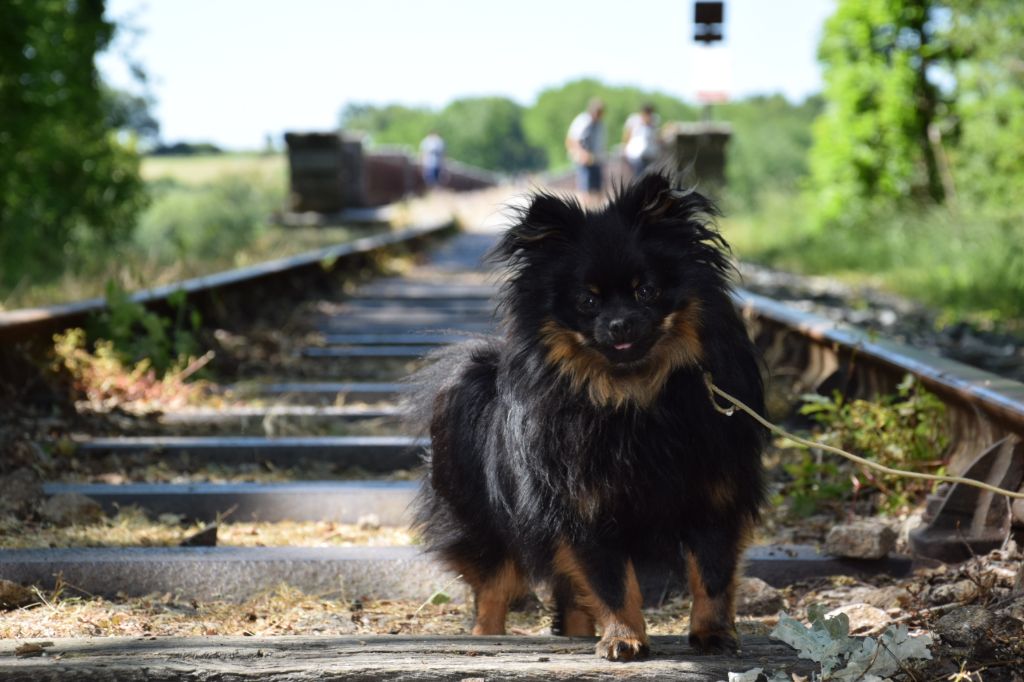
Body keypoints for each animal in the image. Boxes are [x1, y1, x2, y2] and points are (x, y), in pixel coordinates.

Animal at [411, 171, 765, 659]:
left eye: (646, 291)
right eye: (588, 301)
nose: (620, 324)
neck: (632, 394)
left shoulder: (714, 497)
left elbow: (711, 575)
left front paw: (713, 634)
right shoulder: (584, 510)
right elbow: (612, 582)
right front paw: (624, 638)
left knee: (569, 596)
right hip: (487, 527)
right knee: (494, 589)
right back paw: (488, 637)